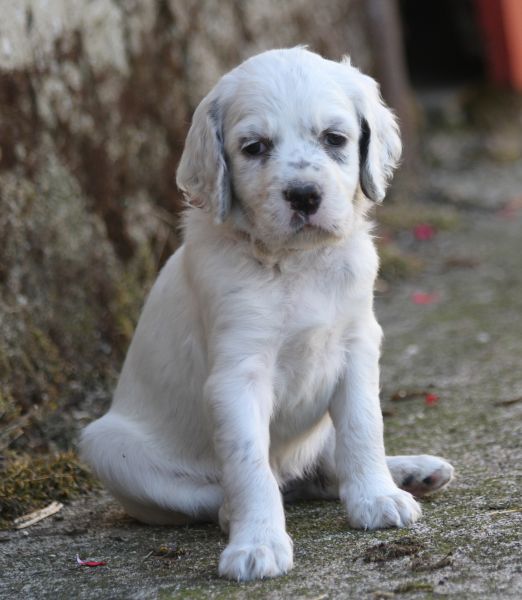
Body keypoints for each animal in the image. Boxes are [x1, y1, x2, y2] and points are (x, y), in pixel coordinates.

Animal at [81, 47, 454, 581]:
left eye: (335, 138)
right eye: (254, 147)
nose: (303, 195)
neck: (296, 263)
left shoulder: (358, 345)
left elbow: (363, 427)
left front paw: (376, 496)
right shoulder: (238, 375)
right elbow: (248, 466)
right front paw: (256, 544)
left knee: (323, 467)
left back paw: (411, 472)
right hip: (109, 446)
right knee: (237, 489)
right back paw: (231, 513)